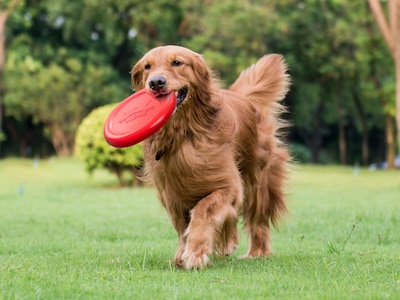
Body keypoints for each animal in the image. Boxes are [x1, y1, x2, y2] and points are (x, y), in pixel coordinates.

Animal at [131, 45, 290, 270]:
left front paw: (195, 253)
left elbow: (203, 210)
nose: (155, 82)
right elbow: (182, 226)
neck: (183, 134)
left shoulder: (228, 185)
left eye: (177, 62)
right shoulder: (171, 194)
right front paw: (182, 254)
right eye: (147, 66)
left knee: (257, 219)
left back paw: (256, 252)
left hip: (257, 181)